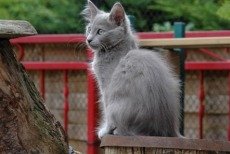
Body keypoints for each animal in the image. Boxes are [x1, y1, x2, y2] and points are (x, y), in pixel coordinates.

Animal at [82, 0, 181, 139]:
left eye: (100, 31)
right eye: (89, 29)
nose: (89, 39)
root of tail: (168, 130)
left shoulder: (107, 88)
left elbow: (106, 110)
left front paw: (105, 131)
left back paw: (118, 131)